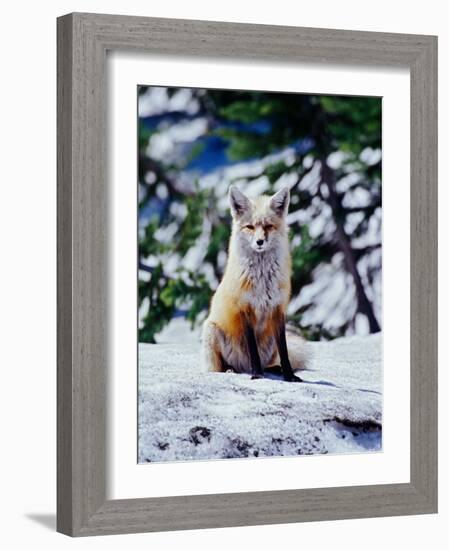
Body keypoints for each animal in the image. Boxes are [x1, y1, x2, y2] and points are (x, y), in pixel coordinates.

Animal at [201, 185, 306, 384]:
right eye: (250, 227)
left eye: (268, 226)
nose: (259, 242)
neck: (262, 280)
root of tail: (242, 367)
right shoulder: (245, 308)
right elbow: (252, 349)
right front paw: (257, 374)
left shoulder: (278, 309)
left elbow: (284, 351)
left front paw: (289, 375)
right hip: (211, 330)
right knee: (220, 368)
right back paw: (232, 370)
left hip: (269, 341)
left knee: (270, 362)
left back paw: (274, 369)